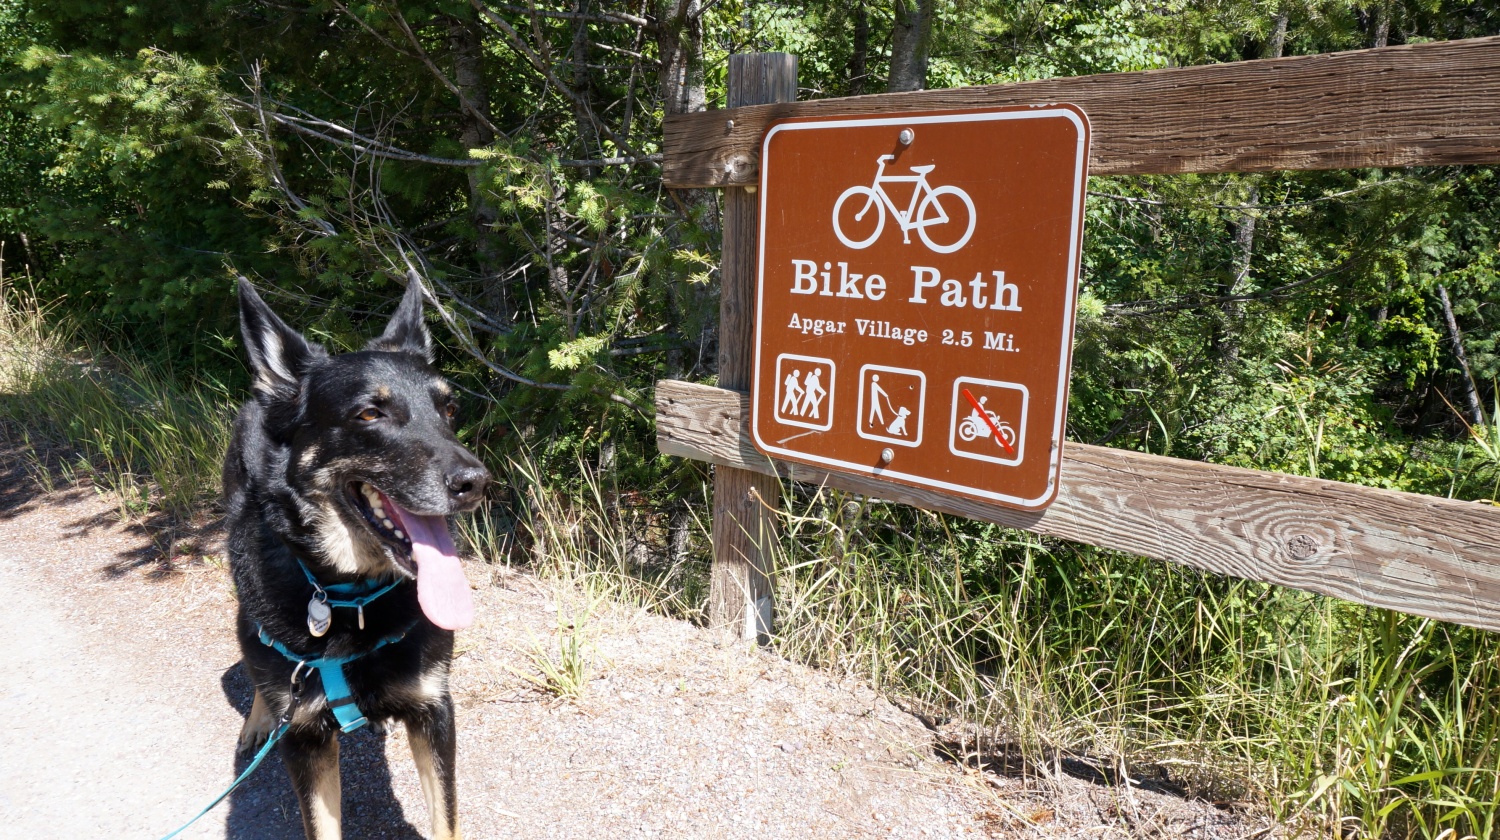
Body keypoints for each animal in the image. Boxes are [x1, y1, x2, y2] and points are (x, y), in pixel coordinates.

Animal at [225, 277, 489, 840]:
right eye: (371, 414)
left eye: (449, 410)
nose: (477, 484)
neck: (351, 597)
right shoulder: (305, 739)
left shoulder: (434, 711)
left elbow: (446, 818)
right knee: (253, 645)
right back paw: (260, 717)